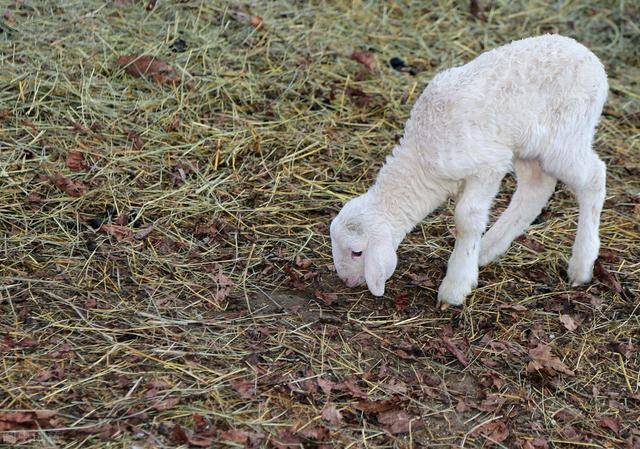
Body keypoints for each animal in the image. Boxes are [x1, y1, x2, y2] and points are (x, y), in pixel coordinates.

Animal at [332, 35, 608, 306]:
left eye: (357, 252)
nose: (345, 281)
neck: (422, 154)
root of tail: (591, 59)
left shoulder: (488, 166)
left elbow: (467, 218)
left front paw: (455, 287)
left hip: (565, 138)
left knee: (594, 176)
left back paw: (582, 265)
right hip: (526, 145)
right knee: (536, 189)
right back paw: (486, 249)